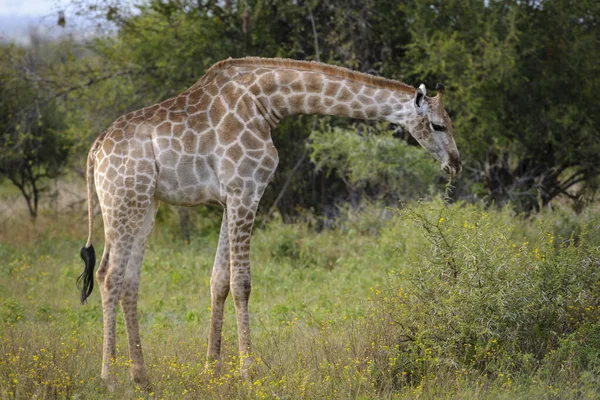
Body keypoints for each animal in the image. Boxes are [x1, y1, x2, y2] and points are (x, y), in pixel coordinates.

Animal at [75, 57, 460, 390]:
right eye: (438, 124)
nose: (456, 163)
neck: (267, 102)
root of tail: (95, 151)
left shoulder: (229, 197)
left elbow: (218, 280)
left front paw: (212, 369)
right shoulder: (246, 189)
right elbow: (241, 282)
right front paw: (249, 370)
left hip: (146, 205)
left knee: (129, 280)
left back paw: (142, 377)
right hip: (124, 200)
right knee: (108, 275)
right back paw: (109, 378)